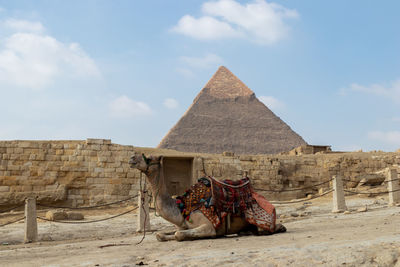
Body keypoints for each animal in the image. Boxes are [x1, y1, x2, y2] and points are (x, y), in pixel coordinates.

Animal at [128, 153, 284, 243]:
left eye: (148, 158)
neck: (181, 208)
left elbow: (179, 235)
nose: (131, 158)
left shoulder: (208, 226)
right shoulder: (182, 225)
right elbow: (161, 235)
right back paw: (245, 232)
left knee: (272, 228)